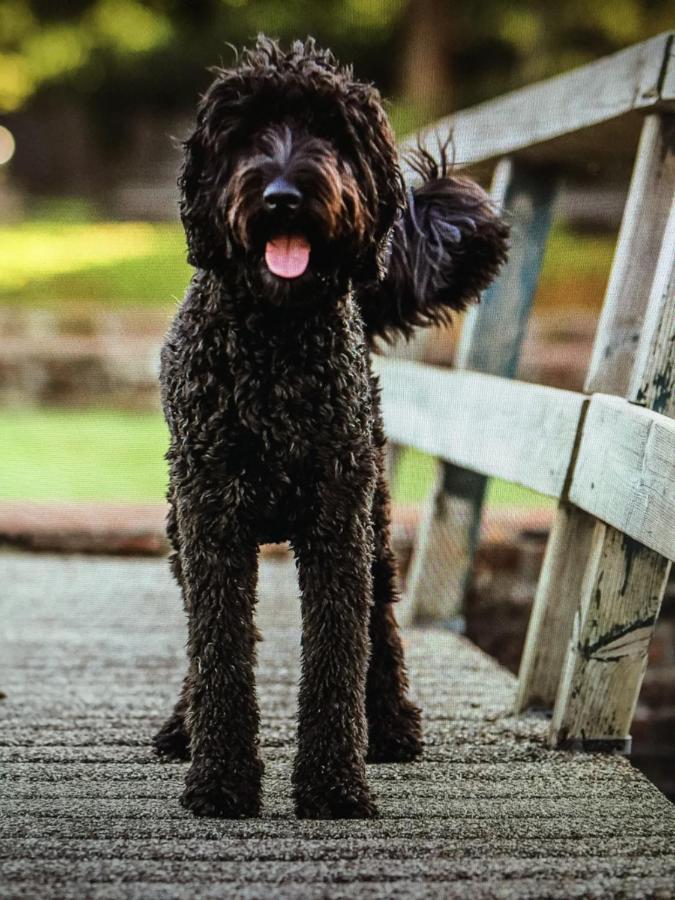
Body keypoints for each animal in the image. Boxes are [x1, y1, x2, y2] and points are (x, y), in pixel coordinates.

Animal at [154, 37, 508, 824]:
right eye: (248, 133)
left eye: (330, 134)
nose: (283, 194)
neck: (274, 350)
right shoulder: (210, 522)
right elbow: (218, 650)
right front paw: (219, 780)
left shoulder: (337, 525)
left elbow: (338, 655)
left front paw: (333, 785)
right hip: (180, 529)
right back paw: (182, 725)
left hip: (371, 520)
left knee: (382, 627)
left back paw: (394, 727)